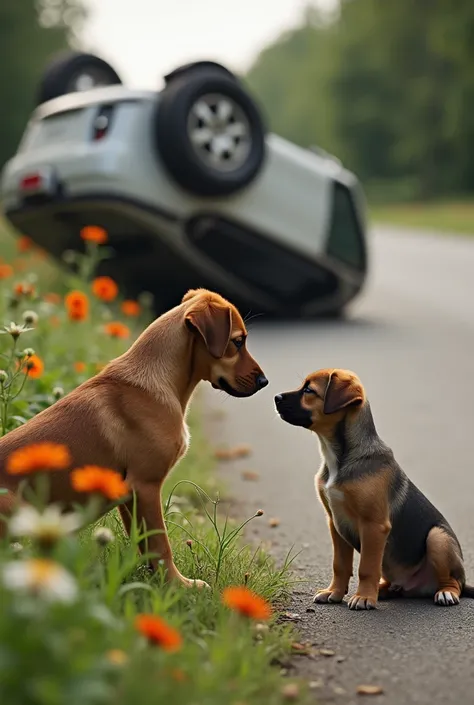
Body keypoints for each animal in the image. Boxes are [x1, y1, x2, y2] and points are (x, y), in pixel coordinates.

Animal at [0, 288, 266, 584]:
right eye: (238, 342)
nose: (264, 382)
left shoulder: (128, 495)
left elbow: (144, 543)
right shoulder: (145, 486)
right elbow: (161, 544)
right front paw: (179, 585)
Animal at [274, 372, 474, 608]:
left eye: (309, 390)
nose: (276, 397)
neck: (339, 458)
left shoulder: (374, 525)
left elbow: (366, 567)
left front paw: (363, 597)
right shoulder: (335, 522)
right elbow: (340, 565)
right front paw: (334, 592)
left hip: (437, 537)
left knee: (454, 582)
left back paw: (445, 593)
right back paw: (383, 589)